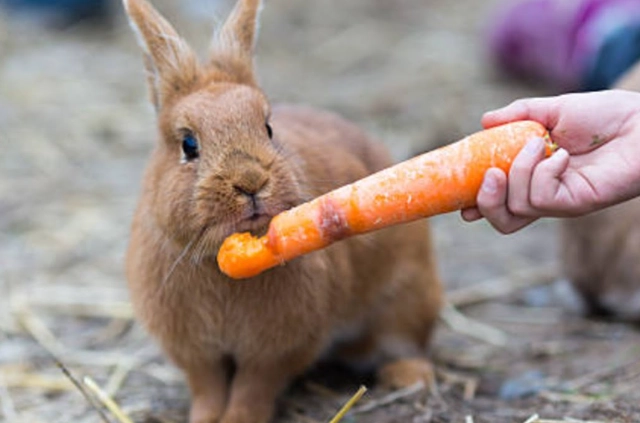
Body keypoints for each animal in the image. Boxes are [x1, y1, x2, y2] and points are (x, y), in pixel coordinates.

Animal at [122, 1, 443, 422]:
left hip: (406, 297)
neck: (225, 262)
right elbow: (207, 388)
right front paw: (205, 419)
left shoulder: (276, 351)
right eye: (188, 145)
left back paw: (408, 377)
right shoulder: (197, 353)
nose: (250, 181)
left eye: (268, 128)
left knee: (406, 341)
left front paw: (238, 420)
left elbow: (252, 389)